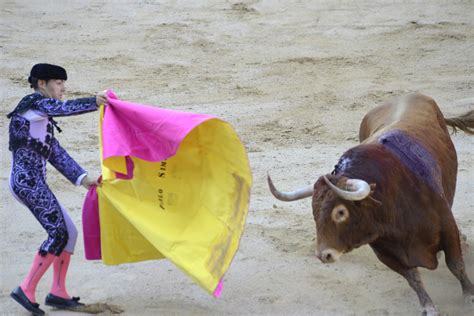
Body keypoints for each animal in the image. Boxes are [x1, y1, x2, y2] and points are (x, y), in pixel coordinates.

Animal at [268, 94, 472, 316]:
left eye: (341, 212)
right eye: (314, 213)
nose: (324, 255)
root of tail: (408, 95)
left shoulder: (447, 226)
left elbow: (456, 264)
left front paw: (469, 297)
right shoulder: (384, 250)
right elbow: (413, 278)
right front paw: (429, 307)